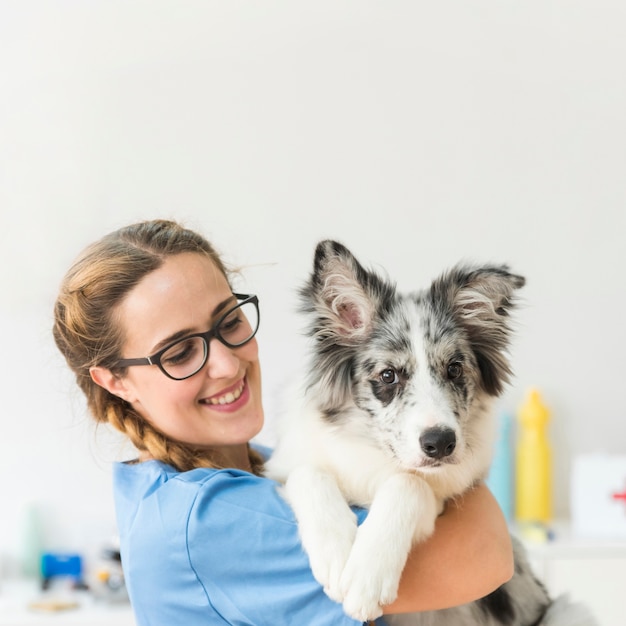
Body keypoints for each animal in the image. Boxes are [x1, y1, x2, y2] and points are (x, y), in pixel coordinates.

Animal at [264, 239, 596, 624]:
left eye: (454, 369)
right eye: (389, 375)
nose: (441, 444)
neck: (375, 455)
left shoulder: (442, 496)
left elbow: (409, 484)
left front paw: (366, 576)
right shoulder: (288, 465)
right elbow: (308, 473)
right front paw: (335, 553)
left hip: (567, 610)